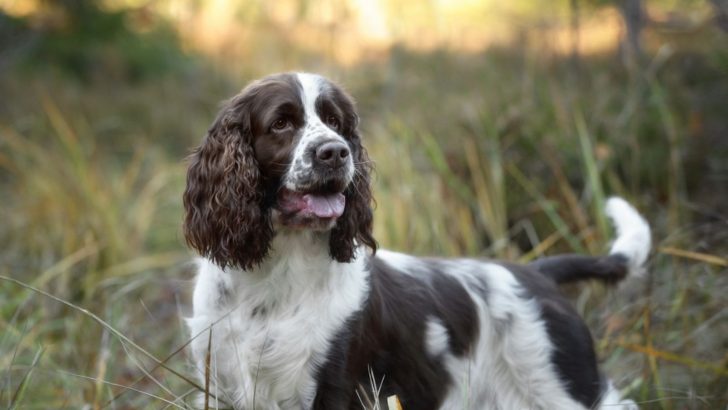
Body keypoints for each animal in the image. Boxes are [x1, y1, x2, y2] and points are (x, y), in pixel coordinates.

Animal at [183, 72, 648, 408]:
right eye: (281, 123)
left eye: (336, 122)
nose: (335, 152)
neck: (275, 276)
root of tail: (536, 273)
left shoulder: (339, 387)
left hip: (560, 388)